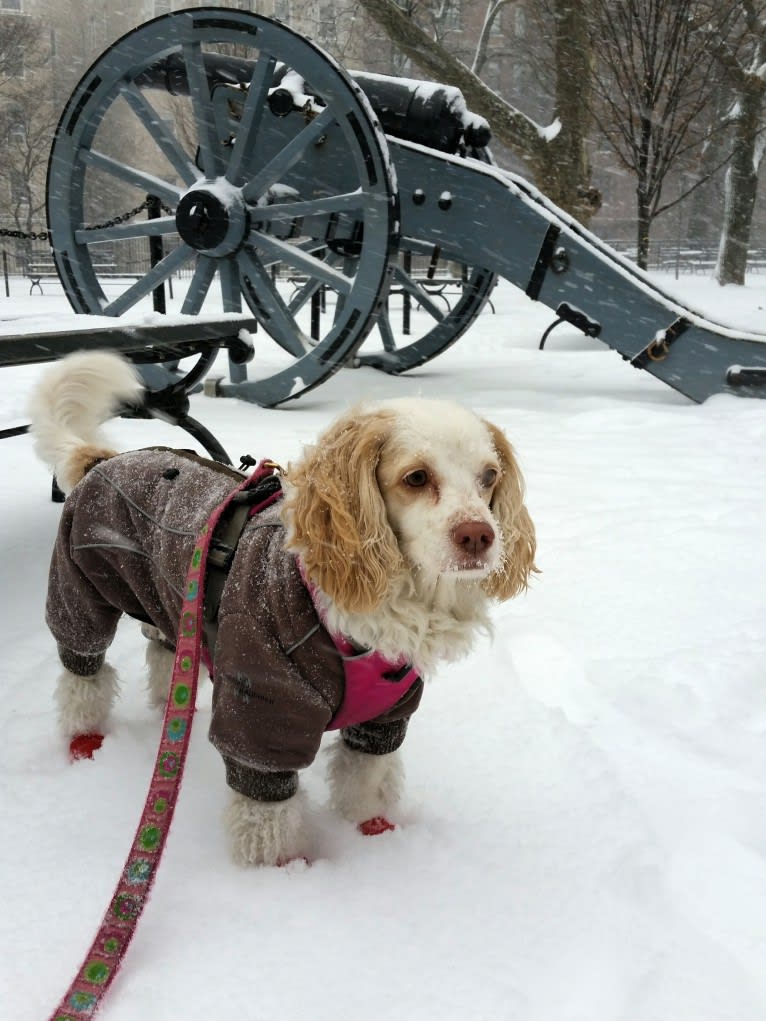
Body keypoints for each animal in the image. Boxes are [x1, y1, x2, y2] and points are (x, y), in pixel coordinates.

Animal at [30, 351, 539, 861]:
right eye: (417, 477)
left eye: (489, 477)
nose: (480, 536)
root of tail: (102, 458)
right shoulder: (264, 723)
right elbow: (269, 823)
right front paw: (286, 875)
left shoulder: (382, 721)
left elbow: (367, 788)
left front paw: (376, 840)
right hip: (80, 594)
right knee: (82, 677)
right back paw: (85, 743)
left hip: (168, 601)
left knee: (163, 652)